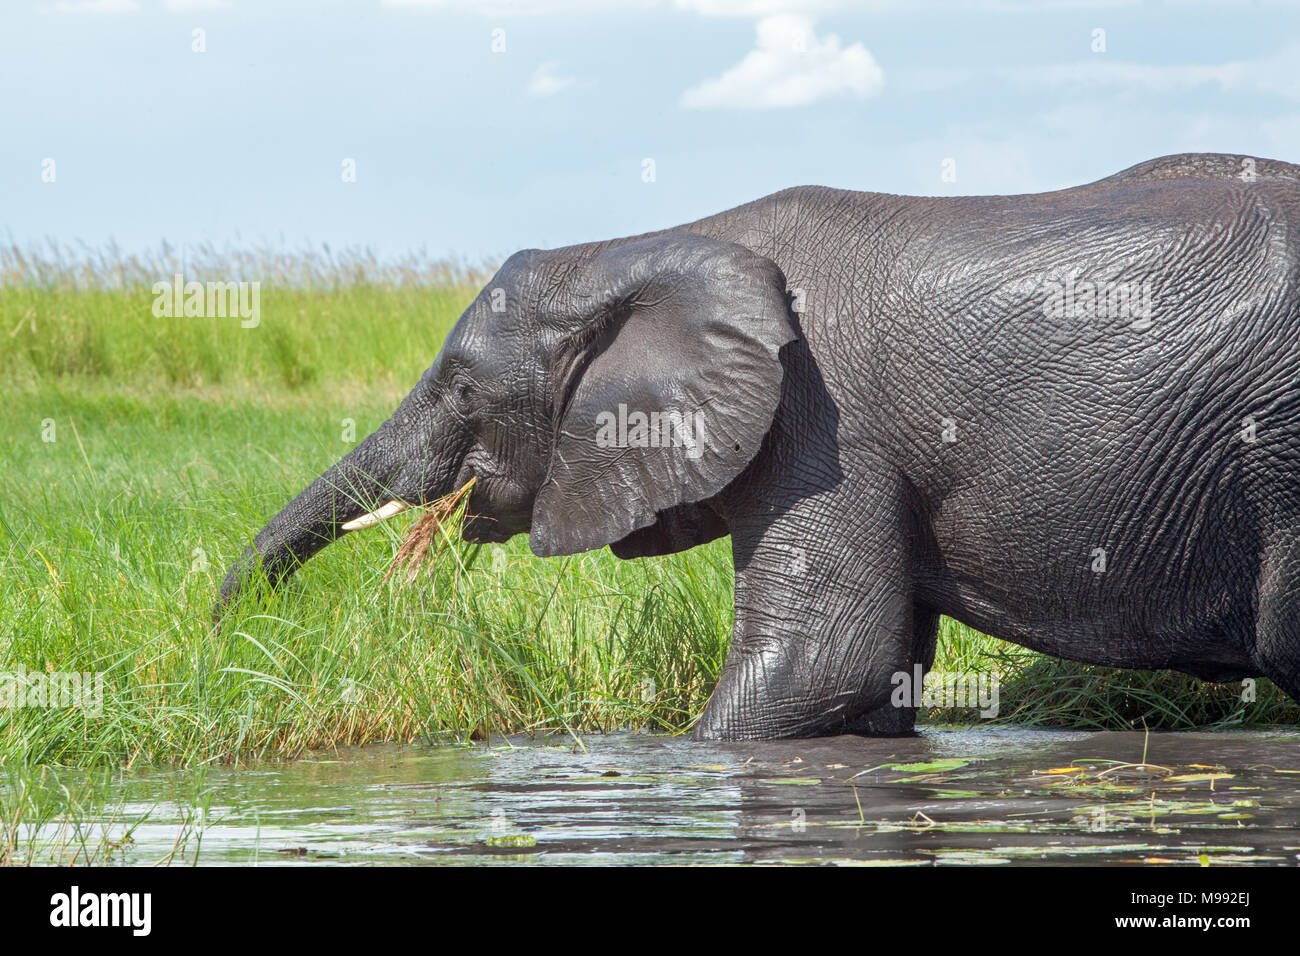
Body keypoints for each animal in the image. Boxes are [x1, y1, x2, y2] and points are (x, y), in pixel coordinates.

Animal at [216, 151, 1300, 740]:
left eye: (464, 388)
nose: (223, 645)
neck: (654, 245)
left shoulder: (828, 424)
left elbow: (827, 661)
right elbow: (873, 683)